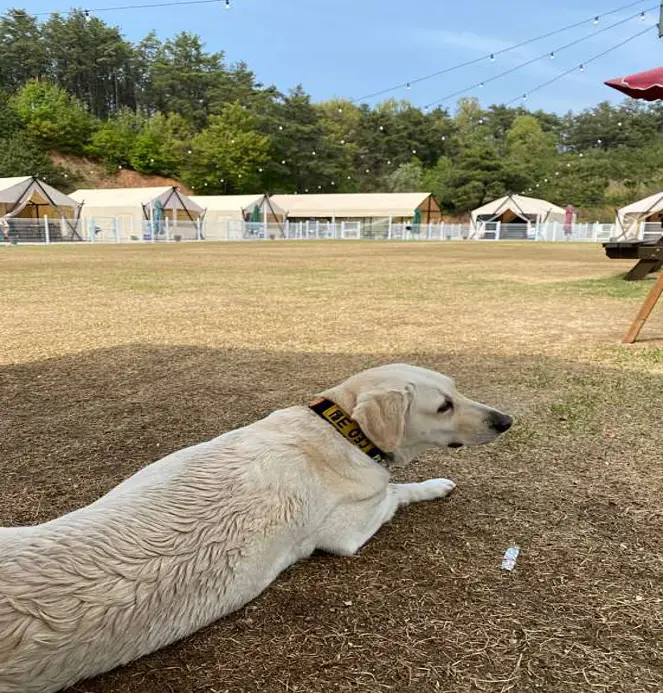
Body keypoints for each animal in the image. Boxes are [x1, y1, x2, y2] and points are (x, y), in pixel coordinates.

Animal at [0, 362, 512, 692]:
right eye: (444, 406)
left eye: (457, 390)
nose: (507, 420)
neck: (340, 429)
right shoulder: (351, 529)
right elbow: (397, 490)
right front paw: (435, 485)